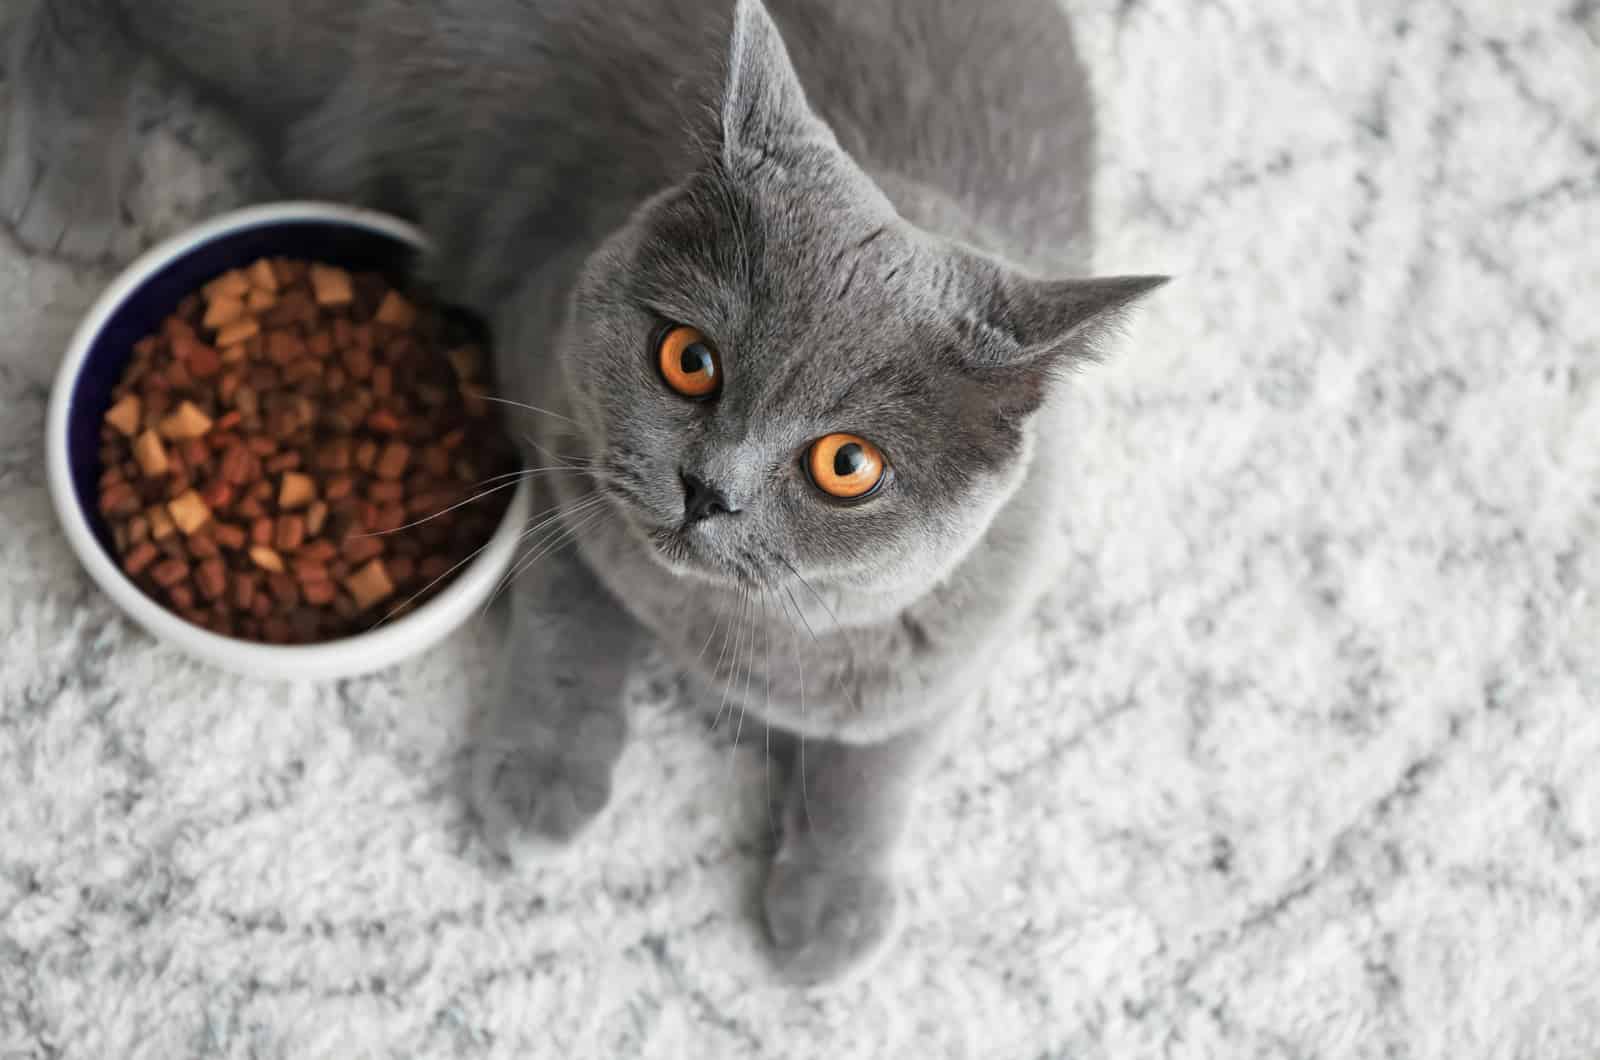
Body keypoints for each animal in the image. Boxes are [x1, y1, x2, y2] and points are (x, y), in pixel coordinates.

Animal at [6, 0, 1171, 986]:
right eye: (688, 361)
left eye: (848, 465)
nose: (709, 489)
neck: (722, 625)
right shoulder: (544, 395)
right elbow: (578, 611)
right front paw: (544, 778)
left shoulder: (965, 623)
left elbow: (881, 758)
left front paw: (833, 908)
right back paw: (70, 187)